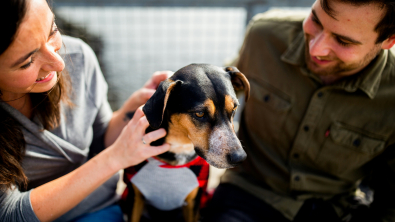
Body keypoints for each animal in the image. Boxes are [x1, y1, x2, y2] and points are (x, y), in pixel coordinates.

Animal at [122, 63, 251, 221]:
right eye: (200, 113)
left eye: (234, 108)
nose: (240, 158)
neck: (180, 147)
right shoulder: (134, 198)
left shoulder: (194, 202)